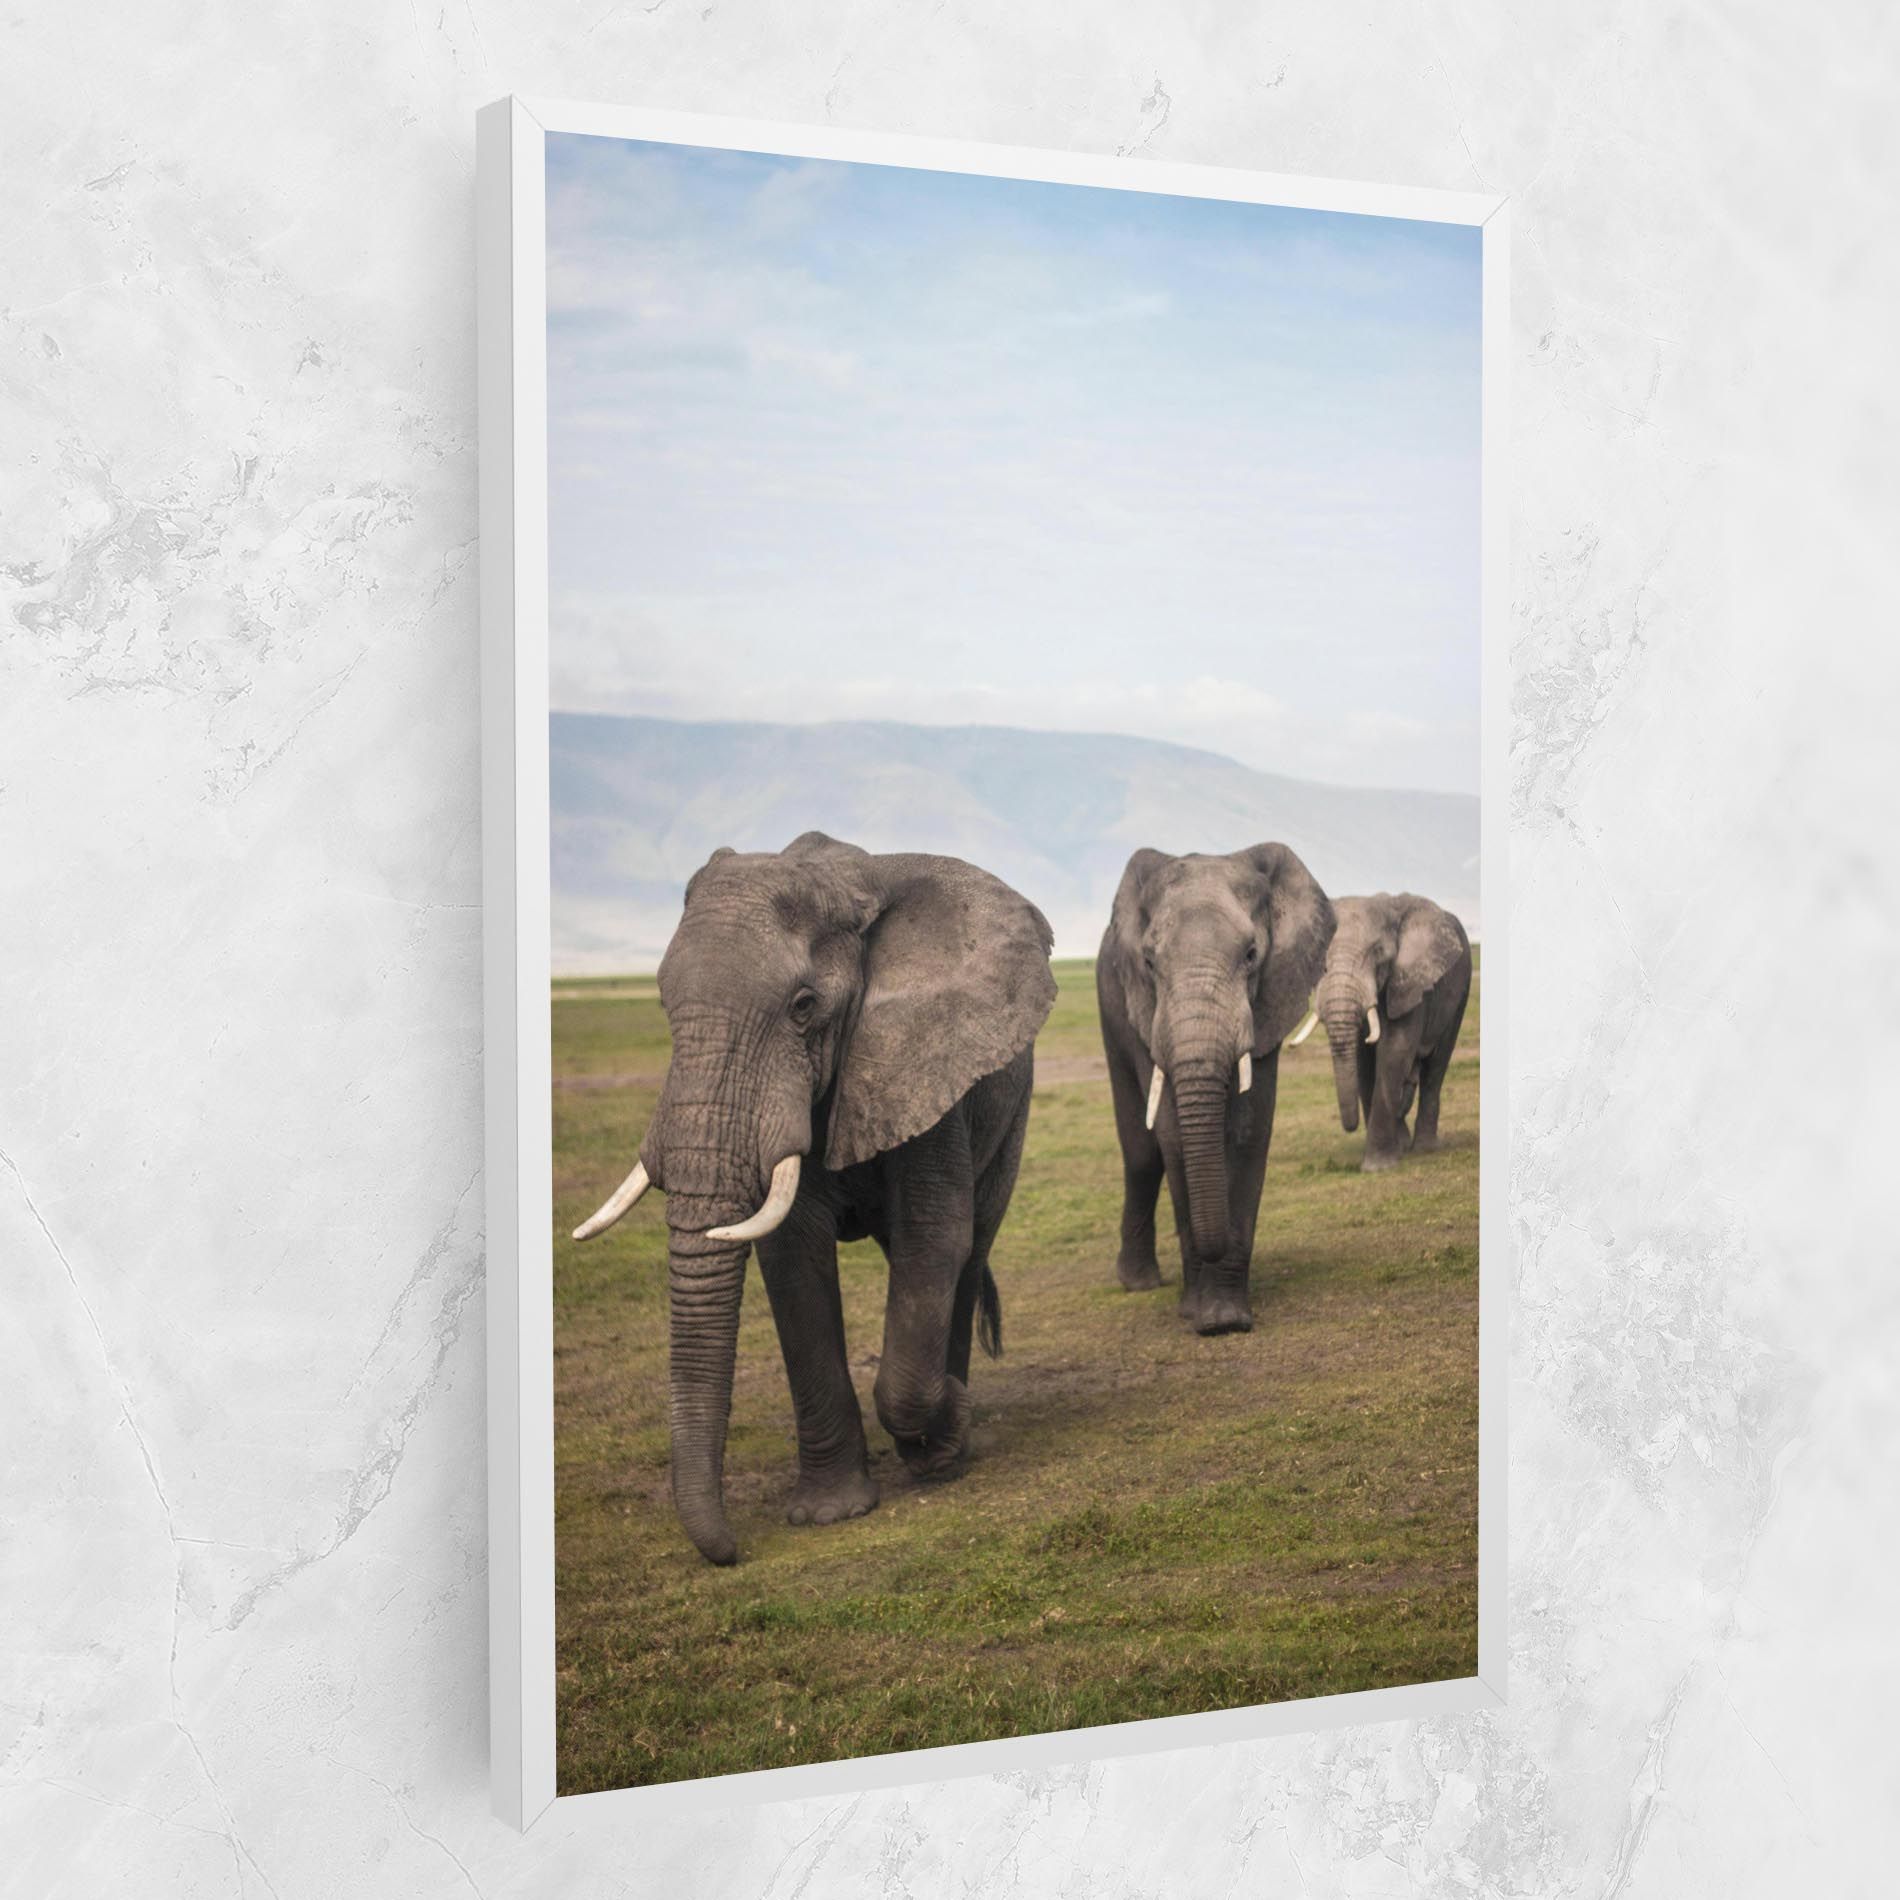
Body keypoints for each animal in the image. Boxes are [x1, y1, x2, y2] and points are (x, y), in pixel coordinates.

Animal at [571, 831, 1057, 1566]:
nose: (731, 1551)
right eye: (660, 1004)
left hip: (1012, 1110)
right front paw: (830, 1514)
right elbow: (792, 1261)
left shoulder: (923, 1062)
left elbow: (934, 1238)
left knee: (968, 1253)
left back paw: (948, 1443)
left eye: (804, 1007)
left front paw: (944, 1432)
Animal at [1096, 844, 1335, 1335]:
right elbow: (1173, 1140)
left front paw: (1226, 1318)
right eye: (1149, 963)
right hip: (1111, 1008)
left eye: (1251, 954)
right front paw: (1200, 1316)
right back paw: (1139, 1283)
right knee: (1142, 1154)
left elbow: (1247, 1132)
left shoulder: (1268, 1002)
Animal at [1288, 893, 1471, 1172]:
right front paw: (1392, 1153)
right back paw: (1405, 1144)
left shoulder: (1409, 983)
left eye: (1378, 953)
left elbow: (1395, 1051)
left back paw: (1424, 1148)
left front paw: (1377, 1167)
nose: (1350, 1127)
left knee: (1436, 1066)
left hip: (1461, 990)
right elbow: (1364, 1063)